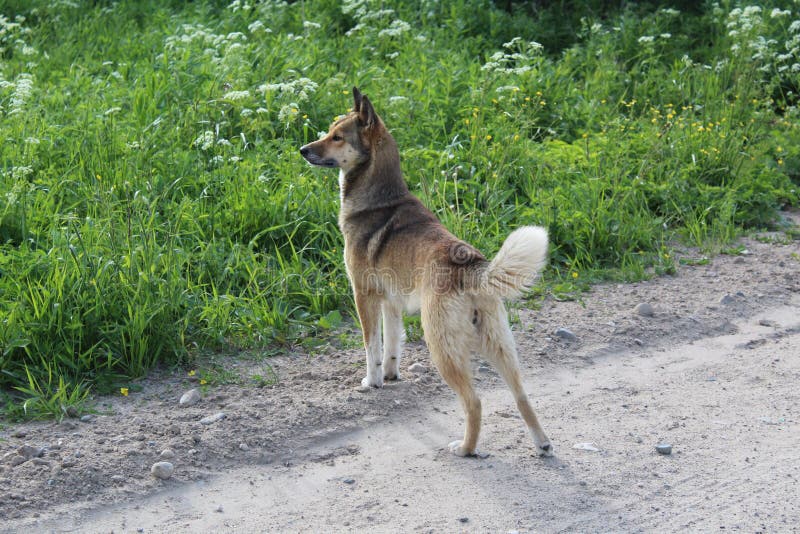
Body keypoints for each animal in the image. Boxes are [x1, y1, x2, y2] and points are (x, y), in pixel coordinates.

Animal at [298, 90, 552, 458]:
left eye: (337, 137)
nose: (303, 150)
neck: (379, 196)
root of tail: (471, 267)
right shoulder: (391, 302)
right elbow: (392, 344)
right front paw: (391, 376)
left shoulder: (364, 295)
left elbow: (372, 347)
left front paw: (372, 382)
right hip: (500, 345)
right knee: (521, 395)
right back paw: (542, 443)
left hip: (441, 345)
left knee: (474, 402)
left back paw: (465, 448)